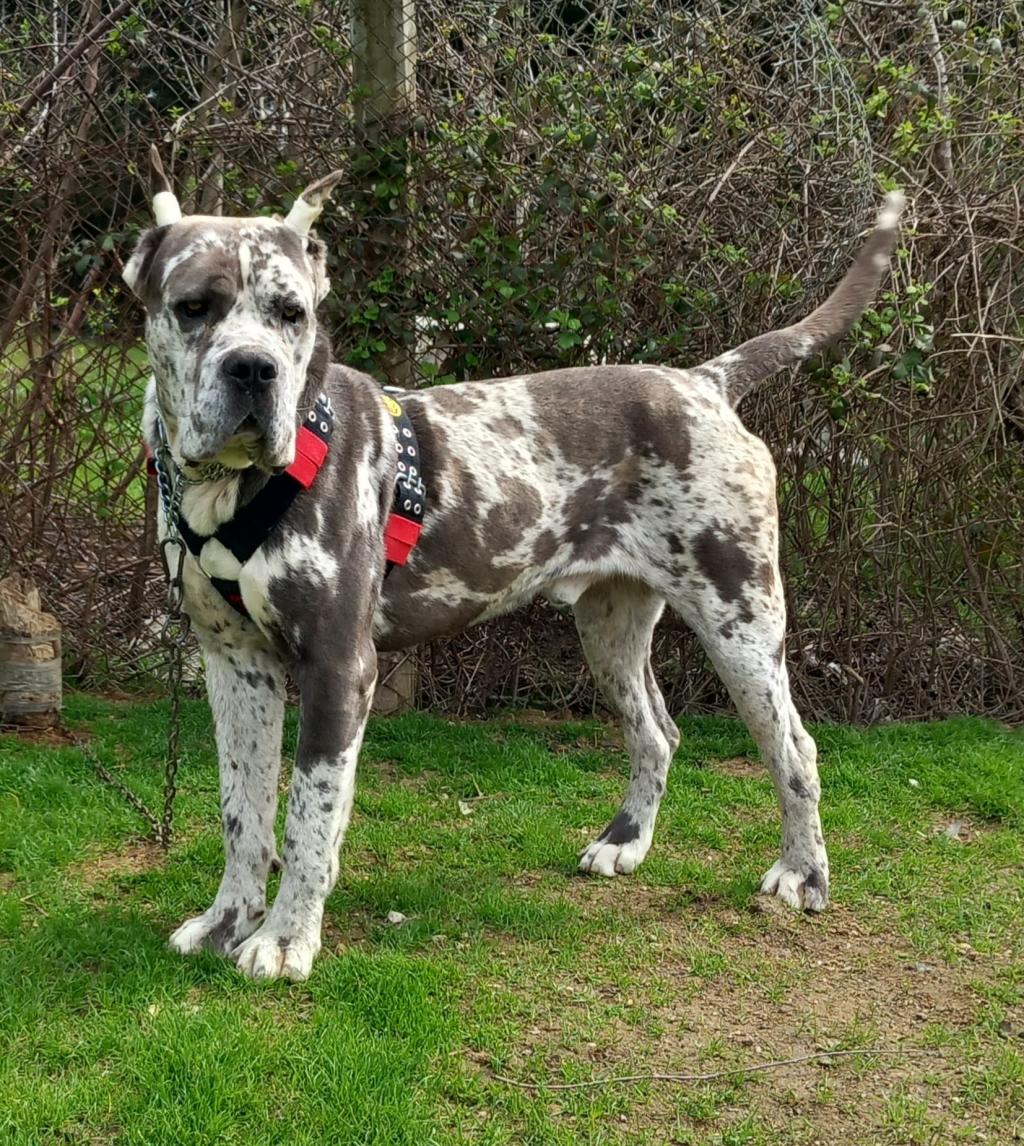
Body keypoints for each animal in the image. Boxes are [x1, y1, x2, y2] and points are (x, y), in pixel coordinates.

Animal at [124, 150, 911, 976]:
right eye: (193, 307)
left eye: (291, 313)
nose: (252, 370)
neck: (230, 489)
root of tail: (703, 381)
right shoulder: (234, 665)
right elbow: (242, 813)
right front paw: (228, 921)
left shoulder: (340, 666)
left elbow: (310, 816)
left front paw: (283, 939)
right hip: (610, 633)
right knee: (657, 732)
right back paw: (624, 844)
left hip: (742, 627)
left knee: (795, 749)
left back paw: (803, 873)